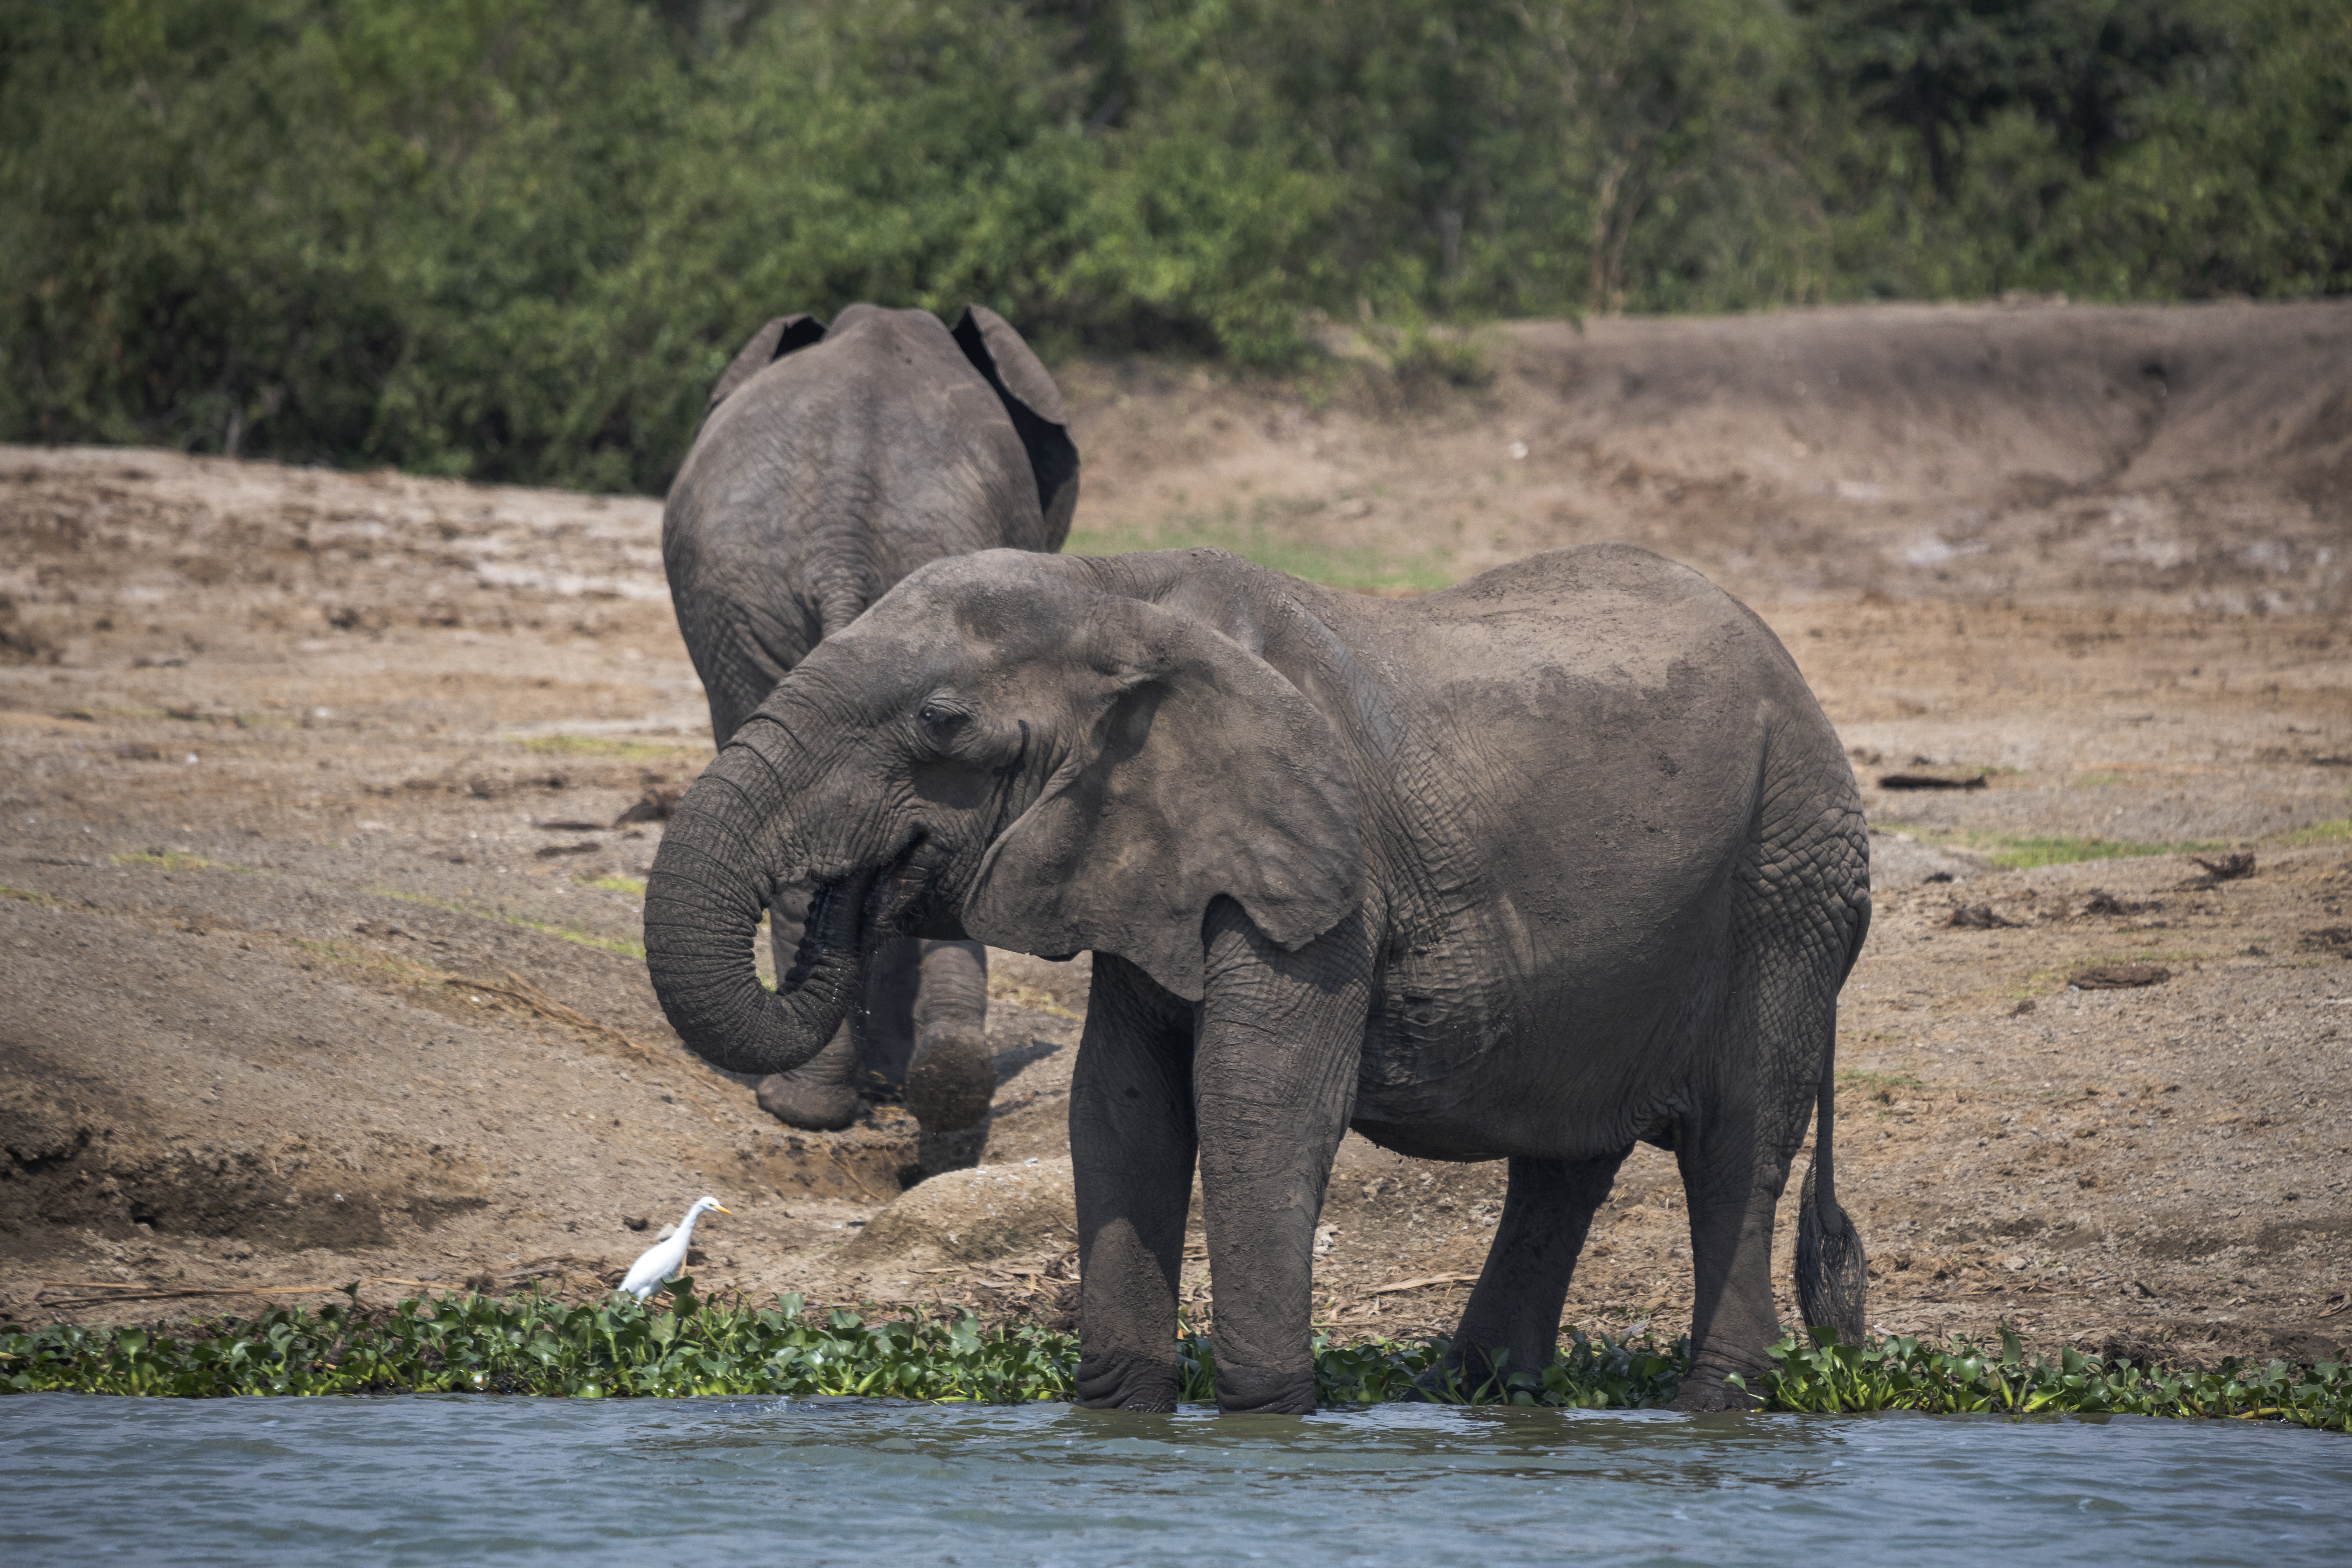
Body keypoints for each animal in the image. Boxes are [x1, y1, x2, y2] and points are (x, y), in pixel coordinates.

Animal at [641, 542, 1872, 1413]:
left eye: (939, 724)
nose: (847, 891)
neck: (1118, 593)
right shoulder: (1151, 858)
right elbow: (1122, 1110)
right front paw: (1118, 1411)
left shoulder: (1326, 882)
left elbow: (1257, 1109)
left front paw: (1267, 1416)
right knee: (1563, 1163)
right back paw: (1475, 1396)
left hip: (1789, 881)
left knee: (1736, 1147)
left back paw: (1714, 1402)